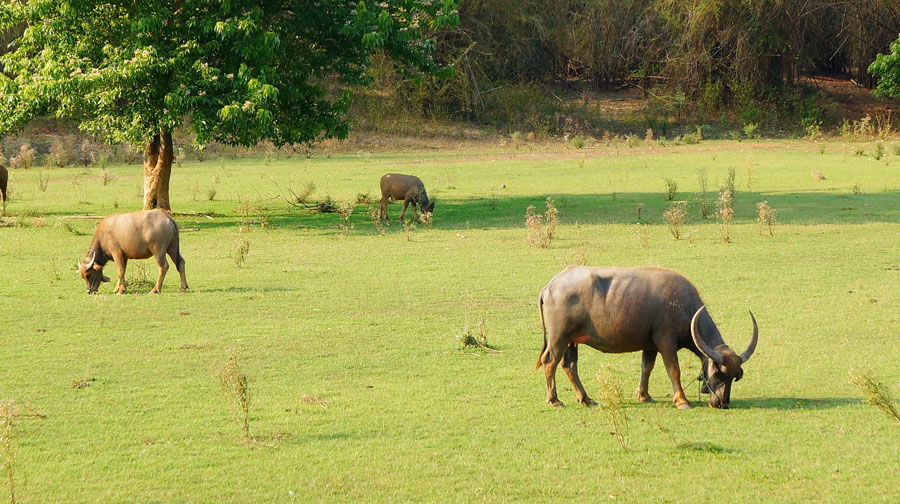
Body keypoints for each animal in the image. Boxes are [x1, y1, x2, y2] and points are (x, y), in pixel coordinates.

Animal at [536, 266, 760, 408]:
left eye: (735, 376)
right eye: (718, 374)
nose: (722, 403)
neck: (684, 305)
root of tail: (551, 285)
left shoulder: (650, 345)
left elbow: (647, 368)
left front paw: (644, 396)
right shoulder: (666, 342)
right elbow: (674, 370)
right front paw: (682, 401)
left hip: (572, 341)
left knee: (569, 366)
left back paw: (586, 399)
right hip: (559, 338)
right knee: (550, 362)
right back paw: (554, 400)